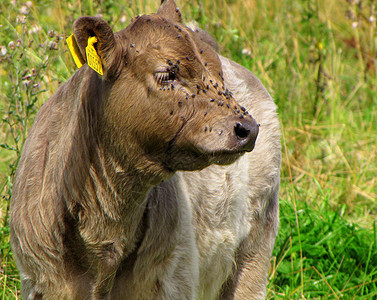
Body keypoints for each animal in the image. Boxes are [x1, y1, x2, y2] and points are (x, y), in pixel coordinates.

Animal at [9, 1, 280, 298]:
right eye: (166, 74)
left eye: (218, 73)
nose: (248, 128)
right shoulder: (40, 280)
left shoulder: (171, 278)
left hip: (255, 246)